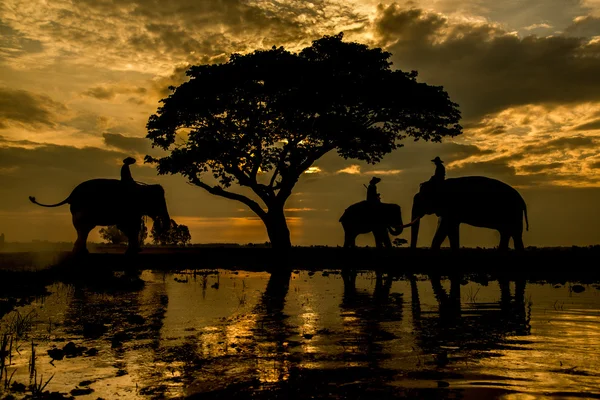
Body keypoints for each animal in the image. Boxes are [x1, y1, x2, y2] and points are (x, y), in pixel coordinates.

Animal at [29, 180, 170, 255]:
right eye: (158, 201)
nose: (160, 223)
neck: (142, 188)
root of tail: (70, 196)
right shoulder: (128, 209)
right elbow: (128, 227)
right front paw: (133, 251)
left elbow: (128, 227)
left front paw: (134, 251)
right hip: (82, 209)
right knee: (84, 229)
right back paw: (81, 252)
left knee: (83, 229)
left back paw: (81, 251)